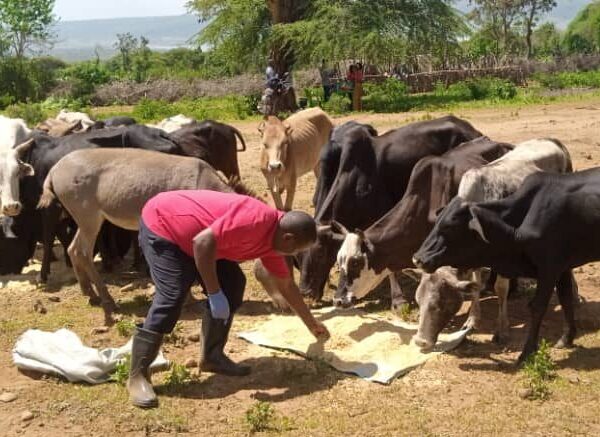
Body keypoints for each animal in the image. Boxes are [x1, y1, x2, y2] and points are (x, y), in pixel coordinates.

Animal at [37, 148, 253, 322]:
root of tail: (55, 169)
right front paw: (188, 299)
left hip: (87, 221)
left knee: (73, 249)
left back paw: (90, 293)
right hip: (89, 218)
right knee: (82, 252)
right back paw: (107, 299)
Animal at [410, 167, 600, 362]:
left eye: (449, 227)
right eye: (436, 223)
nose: (418, 258)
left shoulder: (549, 269)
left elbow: (537, 307)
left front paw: (527, 352)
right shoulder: (561, 268)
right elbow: (565, 299)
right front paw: (567, 338)